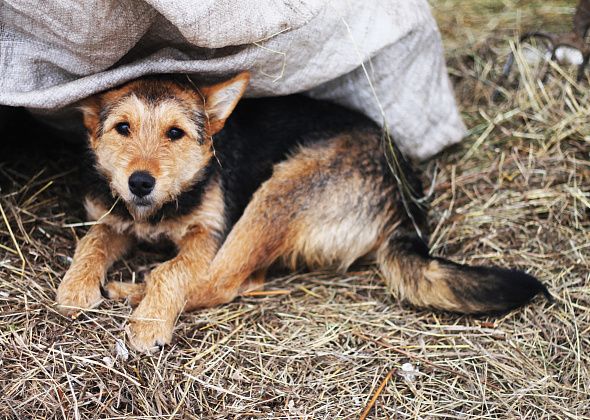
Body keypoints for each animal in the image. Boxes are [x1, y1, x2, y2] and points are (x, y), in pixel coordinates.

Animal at [55, 71, 552, 352]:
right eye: (122, 128)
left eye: (175, 134)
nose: (140, 182)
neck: (158, 210)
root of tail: (405, 192)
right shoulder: (112, 215)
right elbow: (94, 237)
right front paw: (76, 287)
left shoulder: (208, 234)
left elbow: (173, 271)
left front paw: (150, 320)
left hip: (278, 194)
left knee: (225, 282)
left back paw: (132, 295)